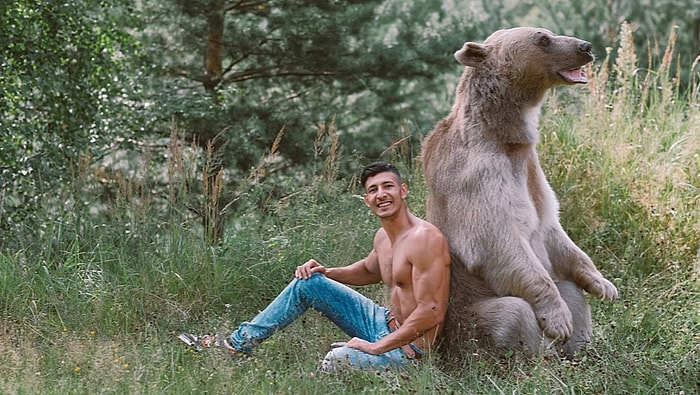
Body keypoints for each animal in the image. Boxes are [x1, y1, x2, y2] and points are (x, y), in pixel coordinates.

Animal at [422, 28, 616, 358]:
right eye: (543, 38)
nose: (586, 47)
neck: (507, 140)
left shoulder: (532, 172)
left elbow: (553, 230)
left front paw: (604, 285)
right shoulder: (477, 176)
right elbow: (498, 241)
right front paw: (559, 320)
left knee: (572, 293)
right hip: (464, 321)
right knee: (512, 314)